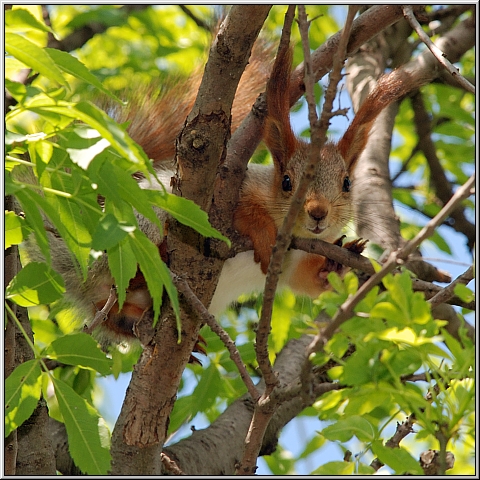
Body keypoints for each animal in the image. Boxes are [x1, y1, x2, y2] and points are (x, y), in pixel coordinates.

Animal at [16, 35, 426, 346]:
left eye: (346, 183)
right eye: (286, 182)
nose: (317, 213)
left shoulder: (296, 263)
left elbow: (309, 280)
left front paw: (337, 261)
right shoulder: (233, 190)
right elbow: (241, 214)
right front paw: (263, 232)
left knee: (111, 316)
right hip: (135, 227)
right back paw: (159, 256)